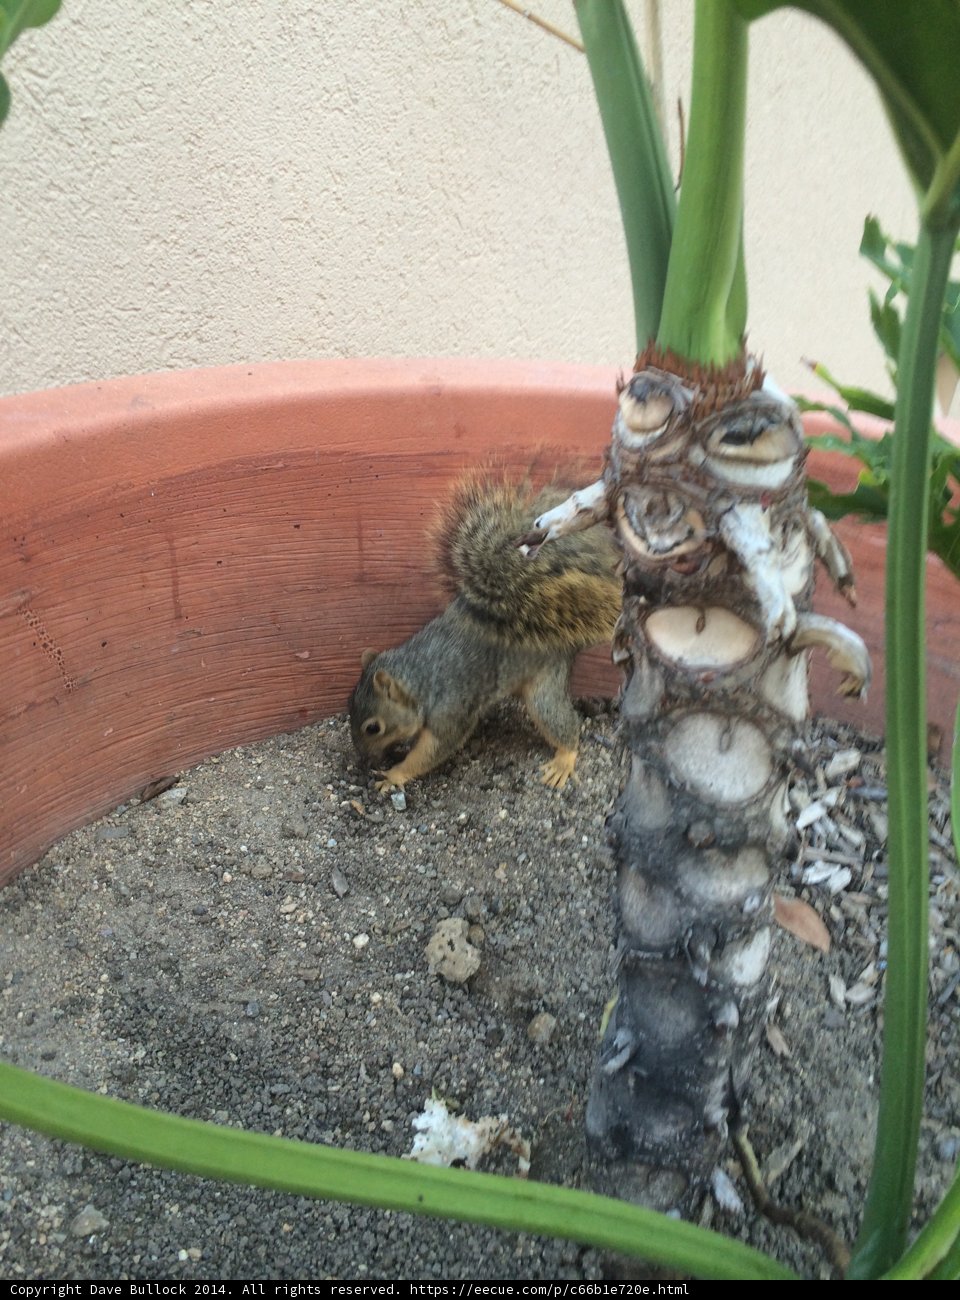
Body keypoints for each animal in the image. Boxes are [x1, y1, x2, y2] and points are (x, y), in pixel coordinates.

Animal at [348, 474, 620, 793]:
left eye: (373, 727)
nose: (362, 757)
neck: (421, 677)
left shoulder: (451, 712)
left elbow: (433, 750)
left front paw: (393, 774)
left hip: (545, 688)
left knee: (561, 721)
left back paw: (564, 760)